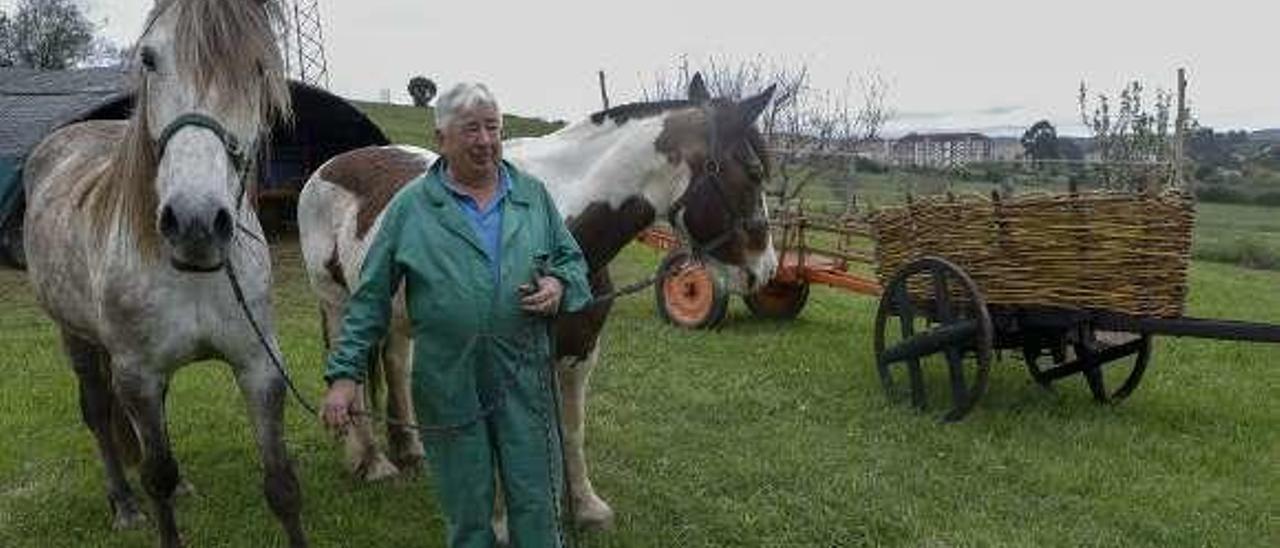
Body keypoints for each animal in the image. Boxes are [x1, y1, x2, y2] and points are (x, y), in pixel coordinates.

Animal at [24, 2, 307, 545]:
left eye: (259, 67)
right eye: (150, 59)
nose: (196, 222)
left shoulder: (259, 366)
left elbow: (282, 484)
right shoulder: (138, 375)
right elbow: (157, 477)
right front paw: (150, 499)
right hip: (75, 335)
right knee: (98, 412)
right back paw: (123, 503)